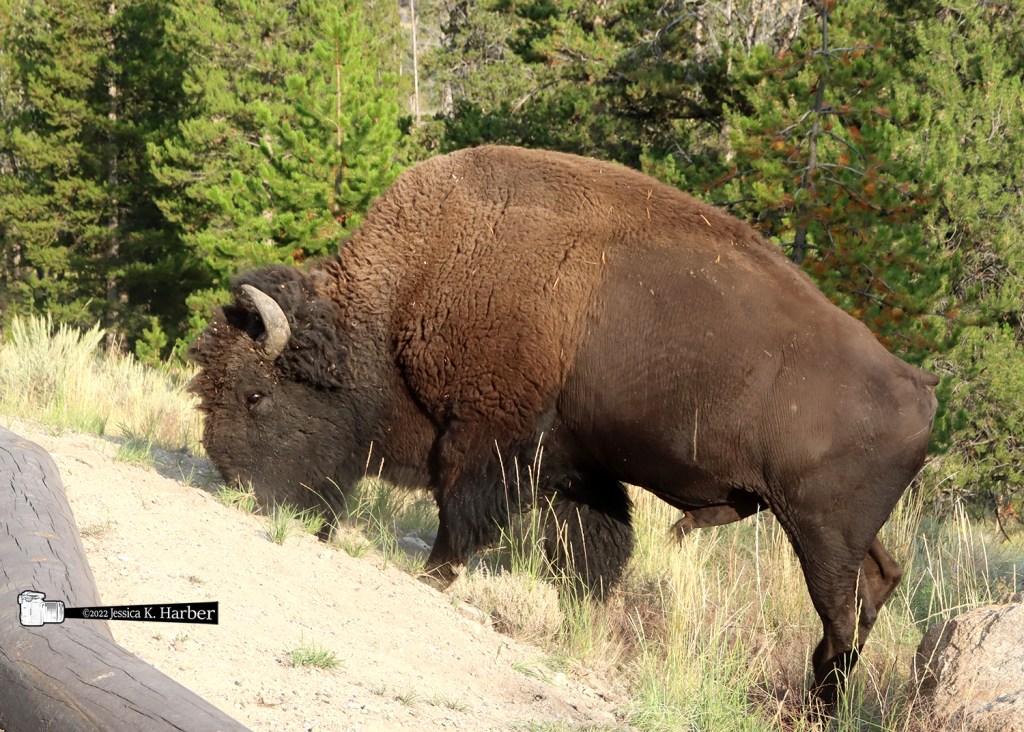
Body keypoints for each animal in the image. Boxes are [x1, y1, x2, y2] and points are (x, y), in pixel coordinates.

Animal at [190, 145, 938, 705]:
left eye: (255, 394)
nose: (237, 488)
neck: (413, 290)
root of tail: (920, 387)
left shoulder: (488, 433)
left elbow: (464, 508)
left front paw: (433, 577)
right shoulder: (573, 467)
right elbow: (592, 546)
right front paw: (582, 614)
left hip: (819, 532)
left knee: (841, 612)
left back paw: (820, 702)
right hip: (835, 531)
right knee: (877, 584)